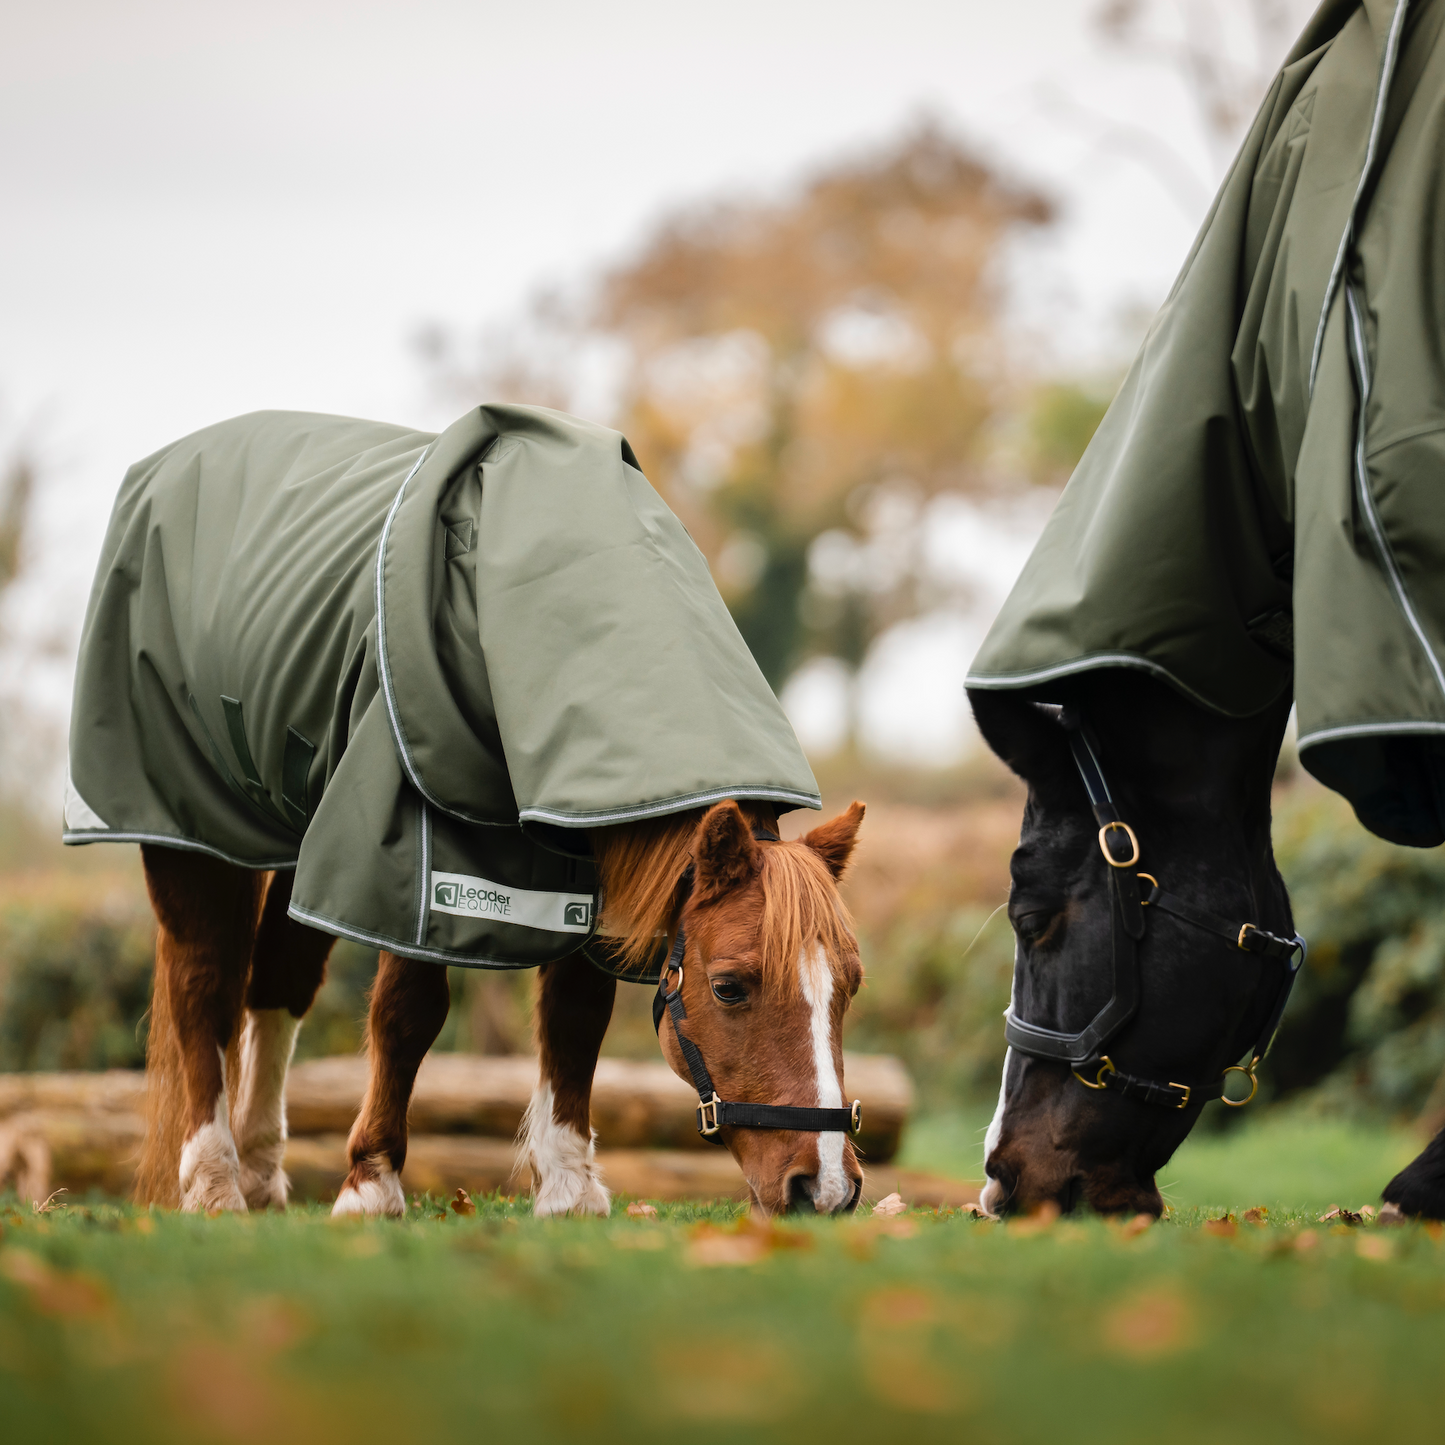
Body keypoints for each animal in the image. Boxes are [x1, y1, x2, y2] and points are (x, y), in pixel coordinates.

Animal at [135, 796, 868, 1219]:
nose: (827, 1187)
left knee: (279, 979)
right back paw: (213, 1178)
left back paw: (259, 1168)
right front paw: (372, 1179)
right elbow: (407, 1012)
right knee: (204, 985)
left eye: (852, 984)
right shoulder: (421, 864)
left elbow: (575, 1019)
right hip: (198, 838)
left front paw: (569, 1184)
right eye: (728, 987)